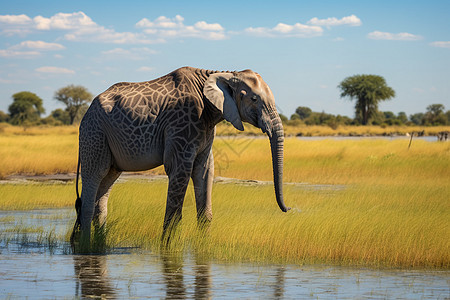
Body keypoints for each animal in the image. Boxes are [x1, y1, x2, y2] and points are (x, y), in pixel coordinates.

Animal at [69, 67, 288, 247]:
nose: (287, 209)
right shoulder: (183, 123)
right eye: (254, 99)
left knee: (106, 183)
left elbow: (204, 171)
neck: (218, 74)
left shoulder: (205, 127)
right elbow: (179, 169)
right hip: (94, 134)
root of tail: (87, 111)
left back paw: (99, 244)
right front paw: (168, 248)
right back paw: (86, 247)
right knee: (94, 178)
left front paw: (203, 246)